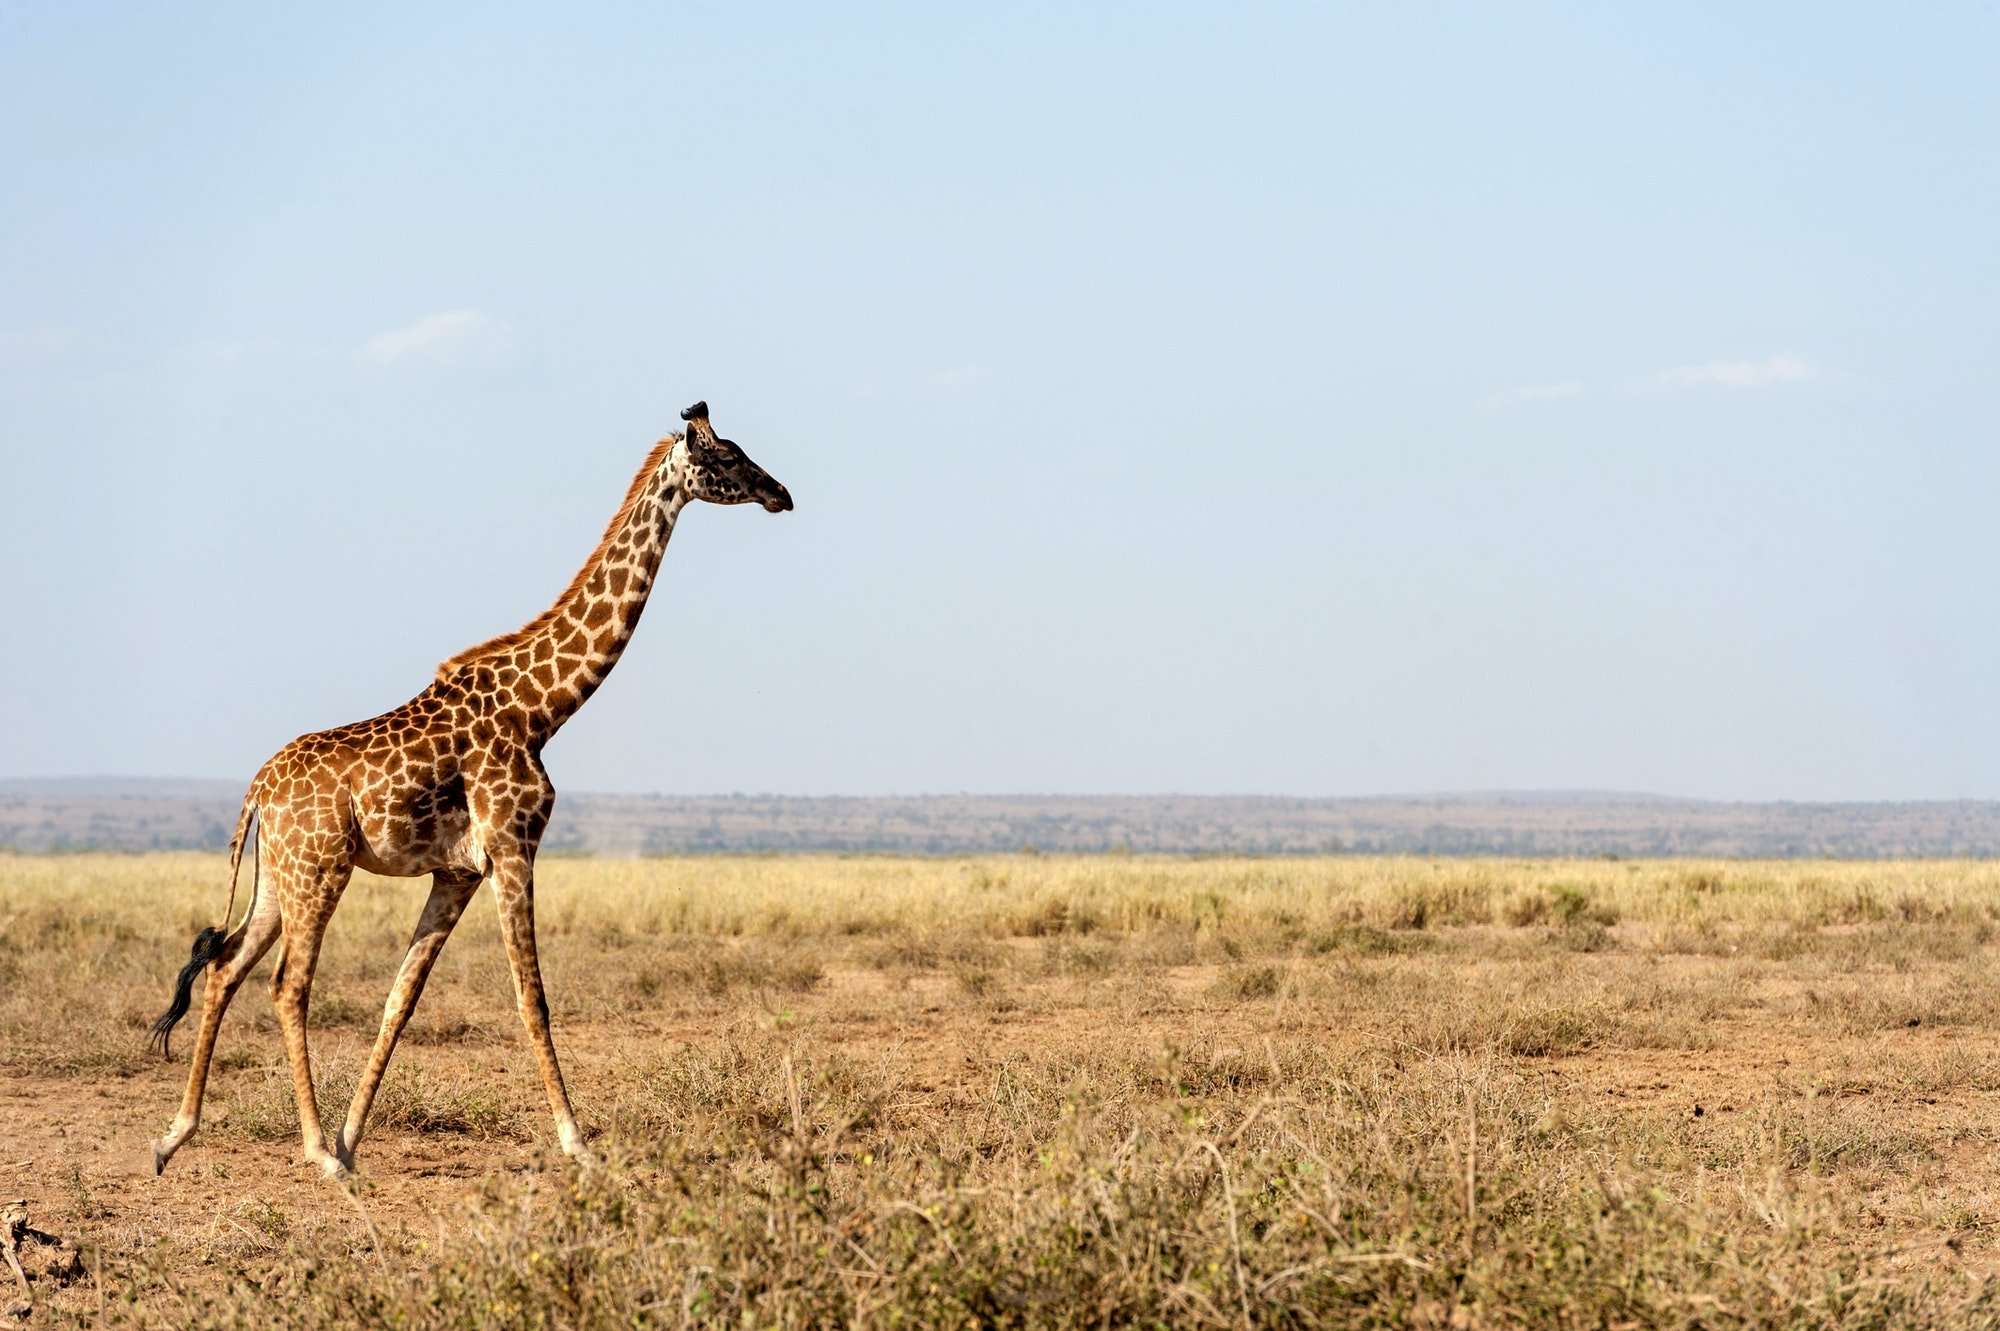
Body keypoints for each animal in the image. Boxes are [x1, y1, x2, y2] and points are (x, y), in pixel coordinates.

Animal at [147, 401, 792, 1178]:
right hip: (320, 869)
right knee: (286, 983)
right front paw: (579, 1145)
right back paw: (312, 1152)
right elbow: (531, 998)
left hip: (279, 875)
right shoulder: (514, 848)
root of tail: (257, 792)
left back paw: (176, 1135)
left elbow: (401, 998)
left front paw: (353, 1138)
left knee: (224, 969)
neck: (542, 708)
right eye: (727, 457)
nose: (781, 493)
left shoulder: (456, 872)